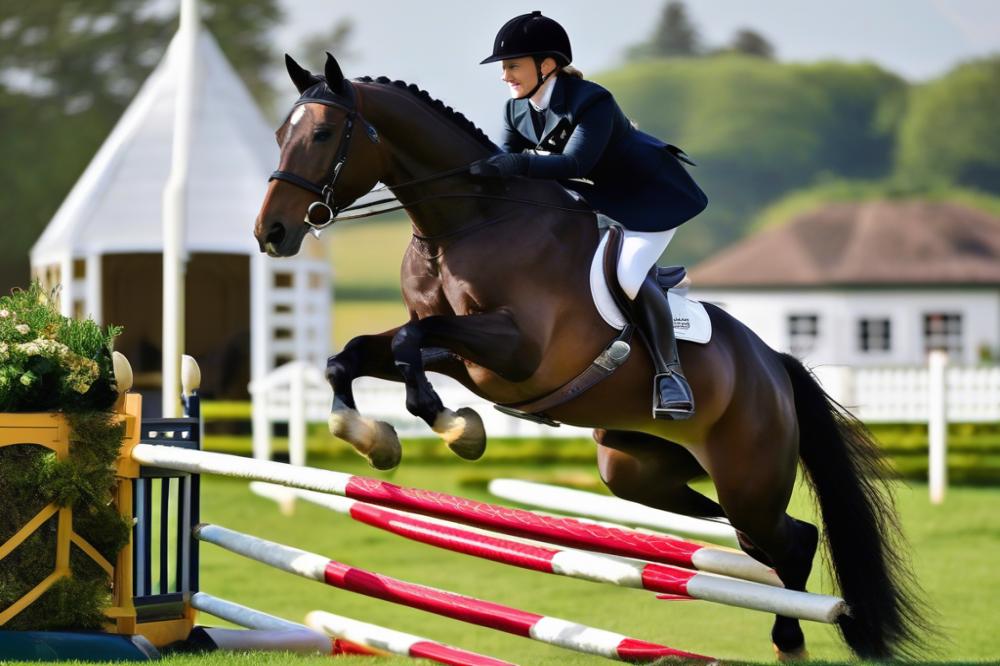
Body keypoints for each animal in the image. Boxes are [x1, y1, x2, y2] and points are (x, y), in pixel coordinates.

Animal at [254, 53, 924, 660]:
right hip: (634, 470)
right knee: (744, 535)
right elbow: (360, 354)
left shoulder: (516, 349)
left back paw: (789, 639)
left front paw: (454, 428)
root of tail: (773, 365)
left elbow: (404, 346)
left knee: (790, 541)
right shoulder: (467, 357)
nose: (272, 234)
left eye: (321, 134)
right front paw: (373, 436)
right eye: (281, 134)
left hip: (748, 475)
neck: (465, 224)